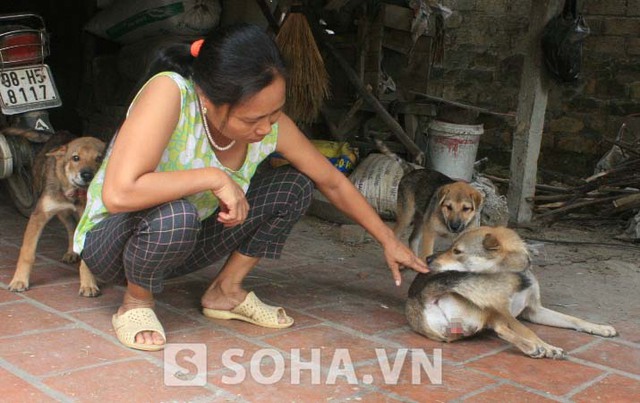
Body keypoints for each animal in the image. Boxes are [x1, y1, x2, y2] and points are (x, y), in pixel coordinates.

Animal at [5, 129, 105, 296]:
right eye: (75, 158)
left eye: (99, 158)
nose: (87, 175)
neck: (73, 191)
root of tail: (59, 133)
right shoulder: (39, 215)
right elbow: (27, 253)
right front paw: (19, 281)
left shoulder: (88, 220)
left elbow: (87, 257)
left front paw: (88, 284)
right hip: (61, 212)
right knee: (71, 227)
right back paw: (71, 252)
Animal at [408, 227, 616, 360]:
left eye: (457, 251)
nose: (428, 259)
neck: (513, 270)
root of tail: (419, 298)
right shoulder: (505, 311)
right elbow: (527, 330)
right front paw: (546, 346)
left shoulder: (534, 310)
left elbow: (574, 320)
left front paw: (599, 328)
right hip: (487, 309)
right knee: (503, 330)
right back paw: (538, 348)